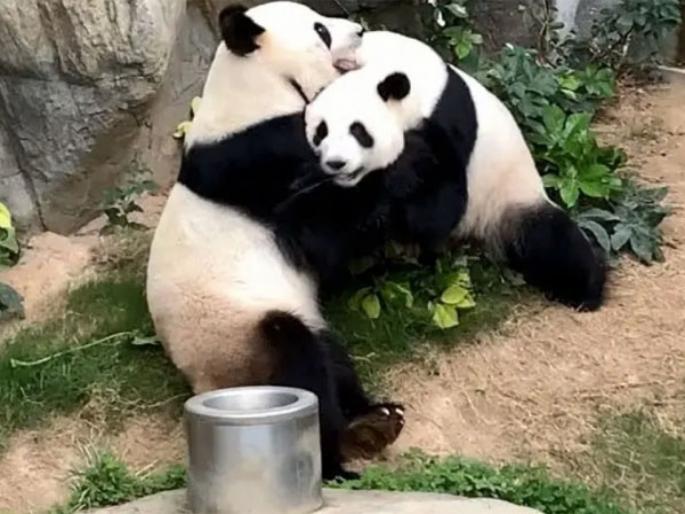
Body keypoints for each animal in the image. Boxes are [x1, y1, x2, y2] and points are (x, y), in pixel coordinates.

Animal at [146, 3, 403, 479]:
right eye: (321, 30)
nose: (359, 30)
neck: (256, 89)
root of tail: (203, 384)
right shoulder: (260, 159)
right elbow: (320, 233)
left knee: (331, 357)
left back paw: (373, 421)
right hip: (237, 336)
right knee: (299, 359)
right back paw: (335, 455)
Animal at [302, 30, 607, 311]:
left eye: (358, 131)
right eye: (321, 131)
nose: (336, 163)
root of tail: (475, 236)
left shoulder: (447, 120)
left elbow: (439, 207)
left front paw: (399, 175)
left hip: (509, 198)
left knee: (552, 241)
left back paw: (585, 292)